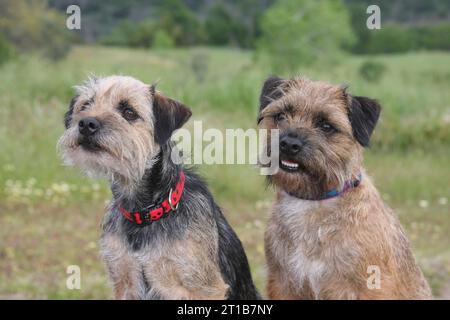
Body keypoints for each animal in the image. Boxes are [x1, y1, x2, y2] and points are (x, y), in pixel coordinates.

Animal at [59, 75, 260, 300]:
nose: (86, 123)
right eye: (86, 105)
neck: (144, 212)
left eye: (129, 112)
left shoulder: (204, 288)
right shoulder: (124, 280)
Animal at [256, 76, 432, 298]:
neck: (313, 200)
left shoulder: (370, 286)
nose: (289, 143)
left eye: (326, 125)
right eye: (280, 116)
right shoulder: (283, 284)